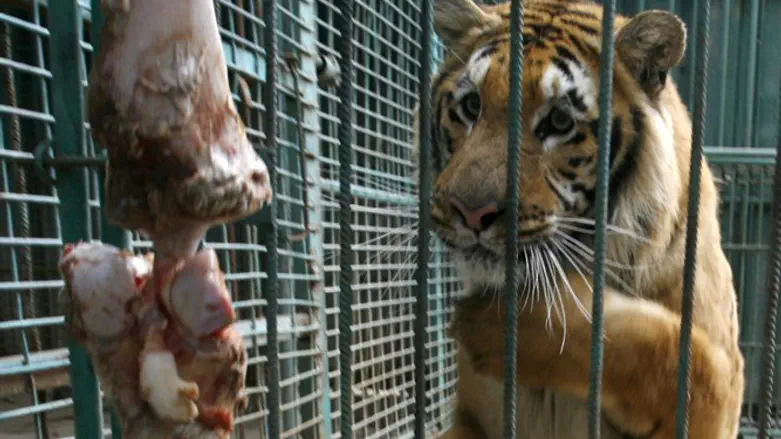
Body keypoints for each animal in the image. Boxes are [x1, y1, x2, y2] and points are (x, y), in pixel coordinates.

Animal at [410, 0, 745, 438]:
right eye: (471, 106)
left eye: (559, 121)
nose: (470, 211)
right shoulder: (469, 419)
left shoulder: (721, 396)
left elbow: (679, 358)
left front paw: (494, 324)